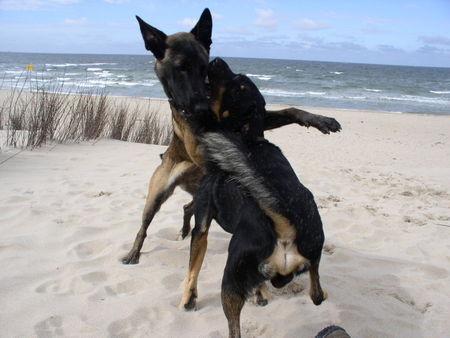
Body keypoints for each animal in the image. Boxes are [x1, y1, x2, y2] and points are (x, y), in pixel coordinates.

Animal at [181, 56, 326, 336]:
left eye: (238, 88)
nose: (216, 60)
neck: (248, 138)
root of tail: (285, 228)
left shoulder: (201, 224)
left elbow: (193, 268)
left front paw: (188, 298)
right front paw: (260, 293)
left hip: (231, 280)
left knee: (234, 326)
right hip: (309, 250)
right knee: (315, 289)